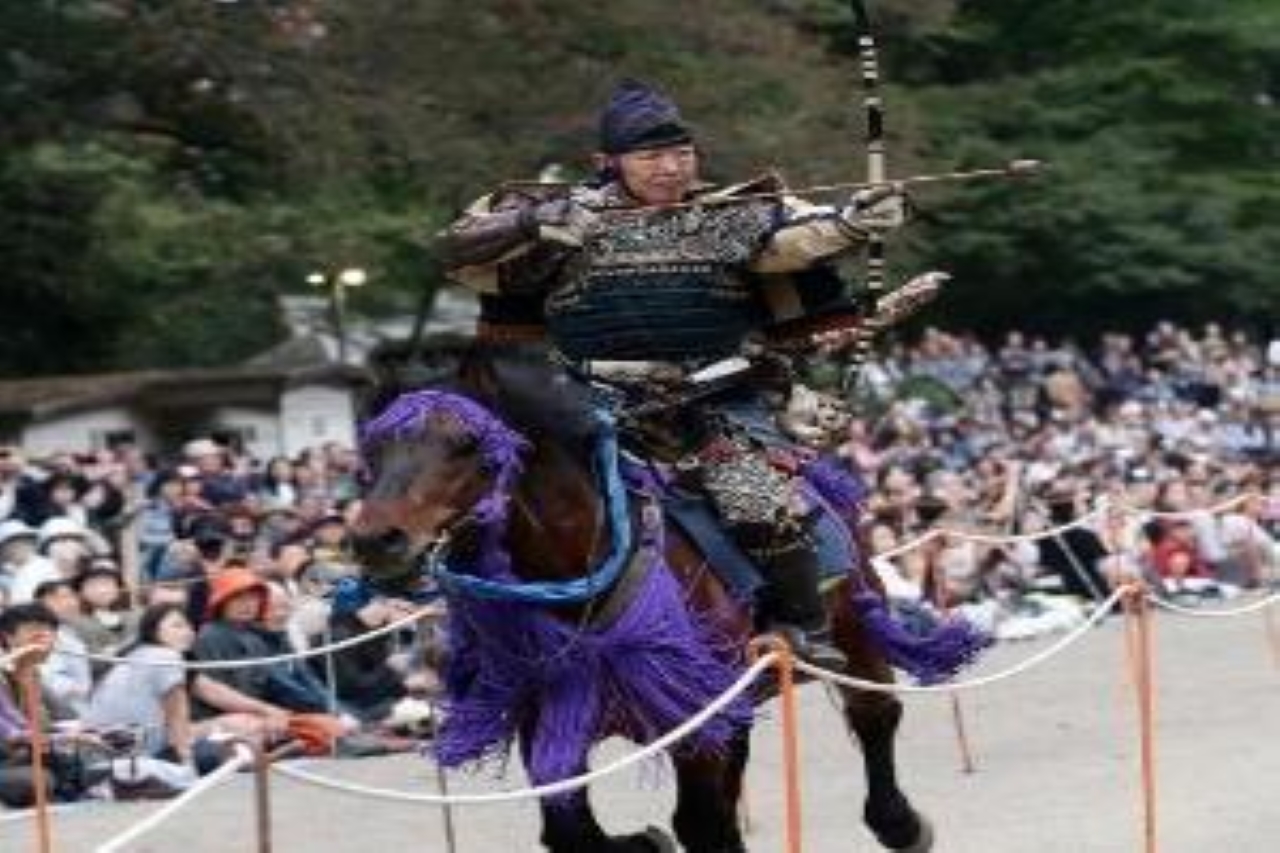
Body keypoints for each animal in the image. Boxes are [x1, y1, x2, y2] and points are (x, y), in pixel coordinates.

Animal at [350, 345, 977, 850]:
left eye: (466, 443)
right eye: (373, 450)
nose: (376, 539)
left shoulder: (693, 718)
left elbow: (701, 824)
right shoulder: (552, 715)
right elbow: (570, 827)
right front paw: (643, 842)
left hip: (854, 617)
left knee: (874, 713)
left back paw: (899, 822)